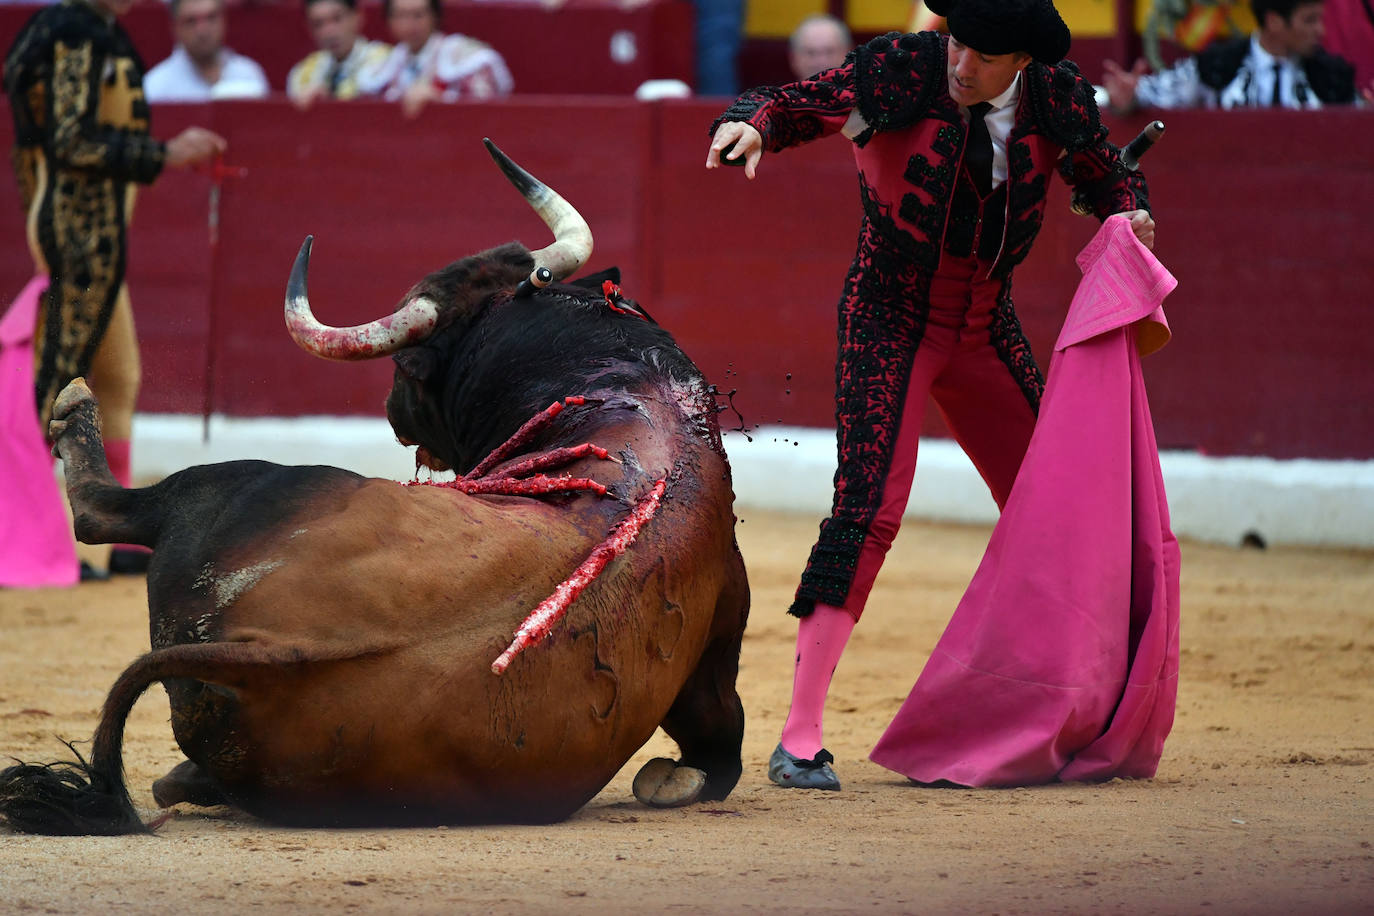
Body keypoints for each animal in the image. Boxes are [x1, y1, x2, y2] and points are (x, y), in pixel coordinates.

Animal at [0, 140, 747, 834]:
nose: (391, 408)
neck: (608, 372)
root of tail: (271, 652)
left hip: (232, 486)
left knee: (103, 513)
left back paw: (74, 404)